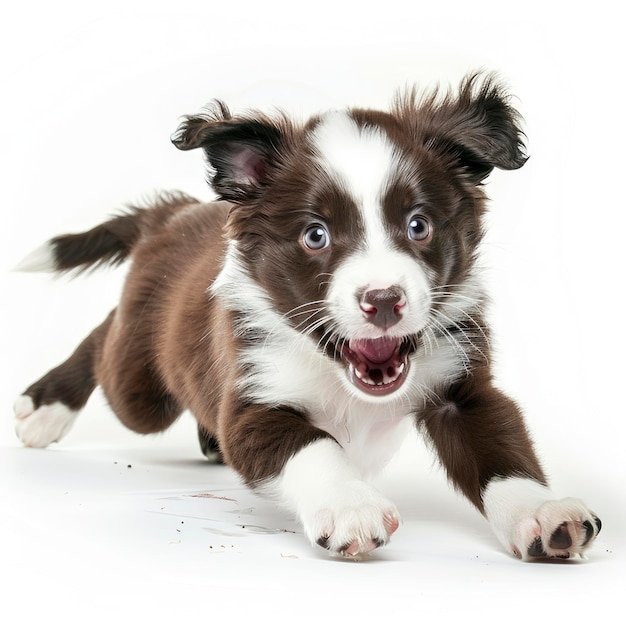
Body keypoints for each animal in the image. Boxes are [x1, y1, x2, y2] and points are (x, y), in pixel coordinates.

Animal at [14, 74, 600, 560]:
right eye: (314, 235)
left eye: (419, 226)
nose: (383, 300)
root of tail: (175, 213)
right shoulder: (255, 402)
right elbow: (314, 445)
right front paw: (348, 506)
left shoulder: (461, 388)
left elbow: (502, 452)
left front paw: (540, 511)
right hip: (142, 390)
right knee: (105, 339)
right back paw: (46, 405)